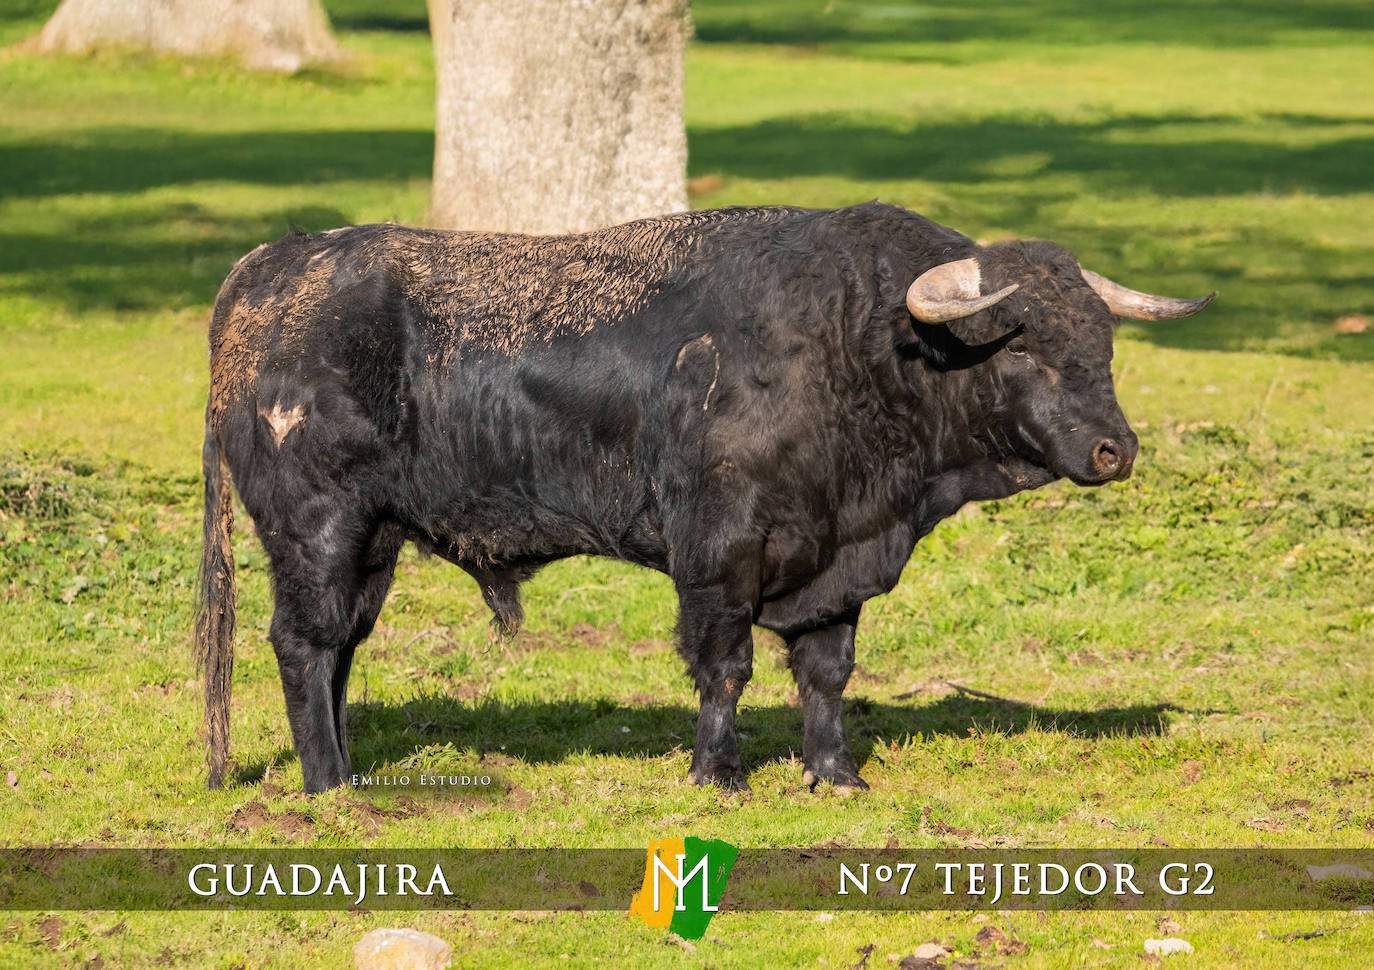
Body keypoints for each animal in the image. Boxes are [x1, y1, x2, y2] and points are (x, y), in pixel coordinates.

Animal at [196, 200, 1214, 791]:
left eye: (1103, 343)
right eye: (1023, 345)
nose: (1115, 450)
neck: (853, 344)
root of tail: (270, 271)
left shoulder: (837, 564)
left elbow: (826, 673)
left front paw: (835, 775)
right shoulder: (719, 556)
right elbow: (725, 667)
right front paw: (717, 774)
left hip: (373, 543)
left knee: (340, 650)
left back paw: (347, 769)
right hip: (317, 533)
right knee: (302, 645)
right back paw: (328, 785)